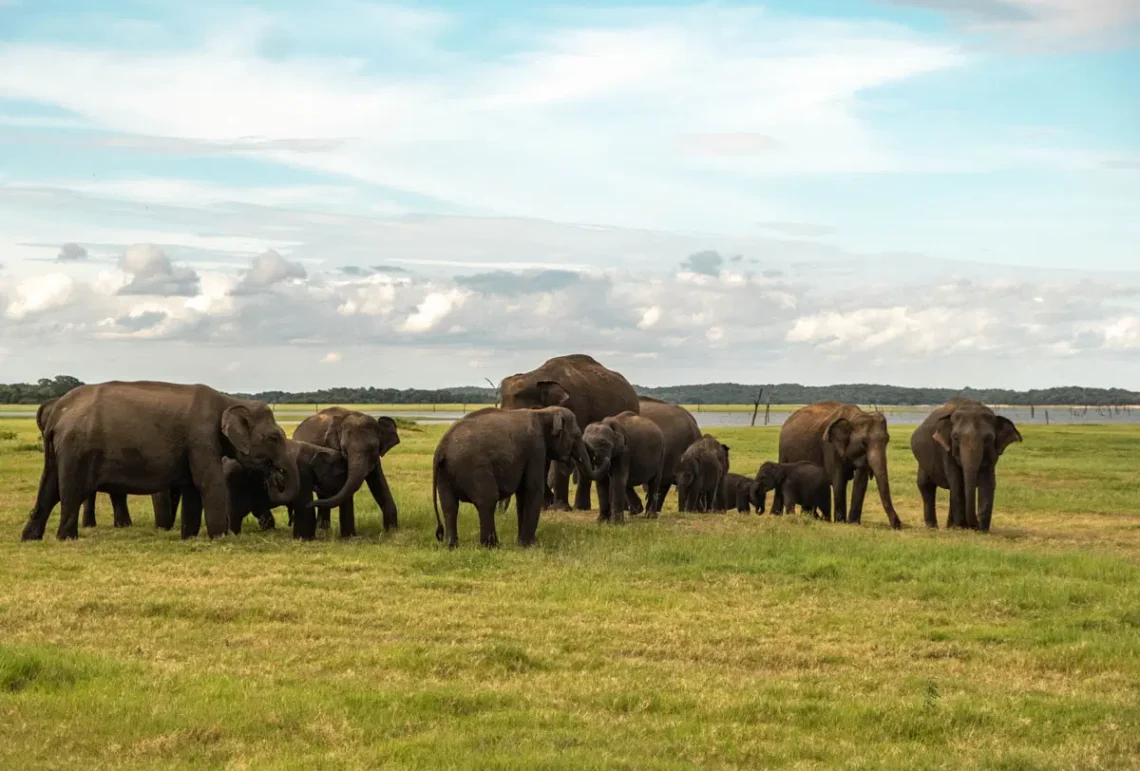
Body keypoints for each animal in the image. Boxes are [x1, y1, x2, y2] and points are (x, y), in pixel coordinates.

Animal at [23, 381, 300, 541]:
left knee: (49, 489)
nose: (275, 476)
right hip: (78, 448)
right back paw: (66, 538)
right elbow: (209, 484)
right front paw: (220, 538)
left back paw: (30, 538)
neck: (230, 401)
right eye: (274, 437)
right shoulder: (201, 437)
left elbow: (192, 488)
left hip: (59, 449)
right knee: (71, 491)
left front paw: (189, 538)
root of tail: (58, 411)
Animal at [292, 408, 400, 537]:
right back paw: (322, 529)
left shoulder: (376, 459)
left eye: (374, 448)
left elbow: (379, 484)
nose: (309, 504)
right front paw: (350, 537)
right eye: (344, 449)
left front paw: (392, 532)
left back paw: (323, 529)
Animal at [432, 406, 591, 549]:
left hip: (445, 472)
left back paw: (453, 546)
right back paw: (492, 546)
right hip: (474, 468)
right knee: (487, 500)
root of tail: (441, 447)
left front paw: (521, 543)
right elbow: (532, 489)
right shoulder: (536, 448)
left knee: (449, 506)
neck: (544, 411)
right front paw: (527, 545)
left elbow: (522, 494)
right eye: (577, 435)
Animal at [499, 354, 639, 512]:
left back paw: (583, 507)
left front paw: (558, 508)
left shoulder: (575, 406)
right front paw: (544, 506)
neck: (536, 376)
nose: (501, 512)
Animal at [910, 397, 1022, 532]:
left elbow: (988, 481)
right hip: (923, 461)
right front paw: (962, 527)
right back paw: (934, 527)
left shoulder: (993, 453)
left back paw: (950, 526)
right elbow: (957, 481)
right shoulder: (947, 450)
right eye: (955, 437)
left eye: (988, 439)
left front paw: (982, 530)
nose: (974, 525)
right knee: (926, 485)